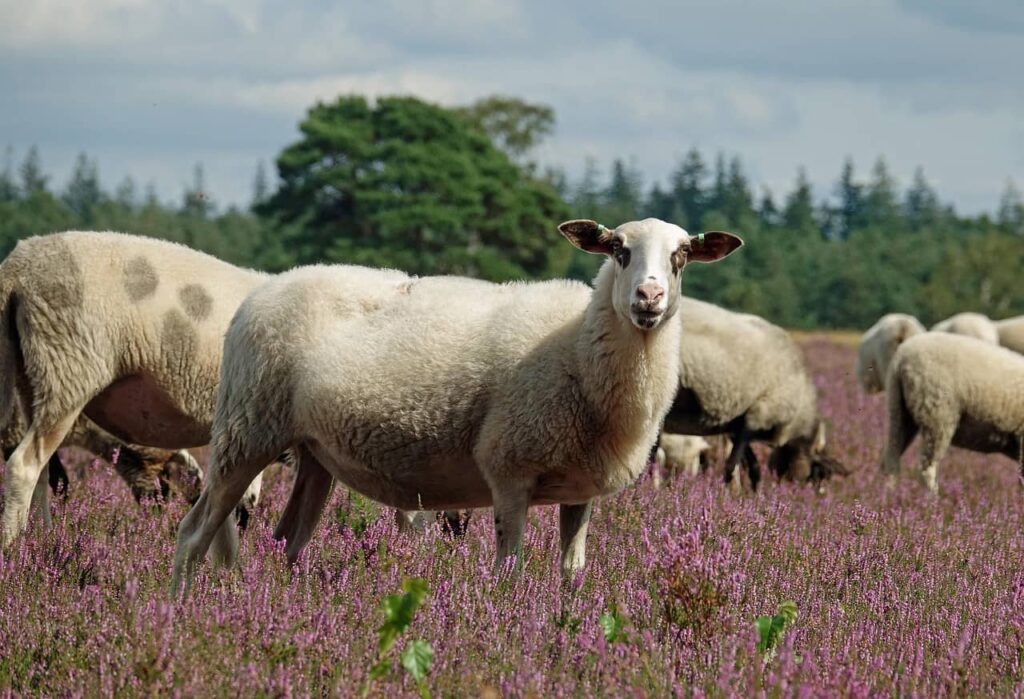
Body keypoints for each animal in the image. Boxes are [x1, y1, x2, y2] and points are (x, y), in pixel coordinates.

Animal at [0, 231, 318, 544]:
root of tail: (18, 267)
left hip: (33, 378)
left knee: (43, 472)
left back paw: (41, 538)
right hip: (69, 368)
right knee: (25, 466)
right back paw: (15, 545)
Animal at [169, 218, 742, 594]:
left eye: (681, 256)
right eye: (618, 250)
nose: (648, 298)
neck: (577, 347)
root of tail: (259, 293)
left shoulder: (581, 489)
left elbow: (571, 575)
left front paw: (564, 628)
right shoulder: (509, 470)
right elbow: (509, 572)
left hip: (311, 451)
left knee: (286, 542)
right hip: (246, 428)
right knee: (194, 534)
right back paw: (182, 613)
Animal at [661, 297, 847, 490]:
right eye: (818, 475)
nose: (805, 494)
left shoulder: (737, 426)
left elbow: (754, 468)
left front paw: (754, 494)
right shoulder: (757, 417)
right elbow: (732, 466)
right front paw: (728, 493)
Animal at [881, 332, 1024, 494]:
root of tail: (902, 356)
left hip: (898, 410)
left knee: (891, 457)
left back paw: (890, 494)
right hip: (937, 414)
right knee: (926, 467)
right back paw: (932, 498)